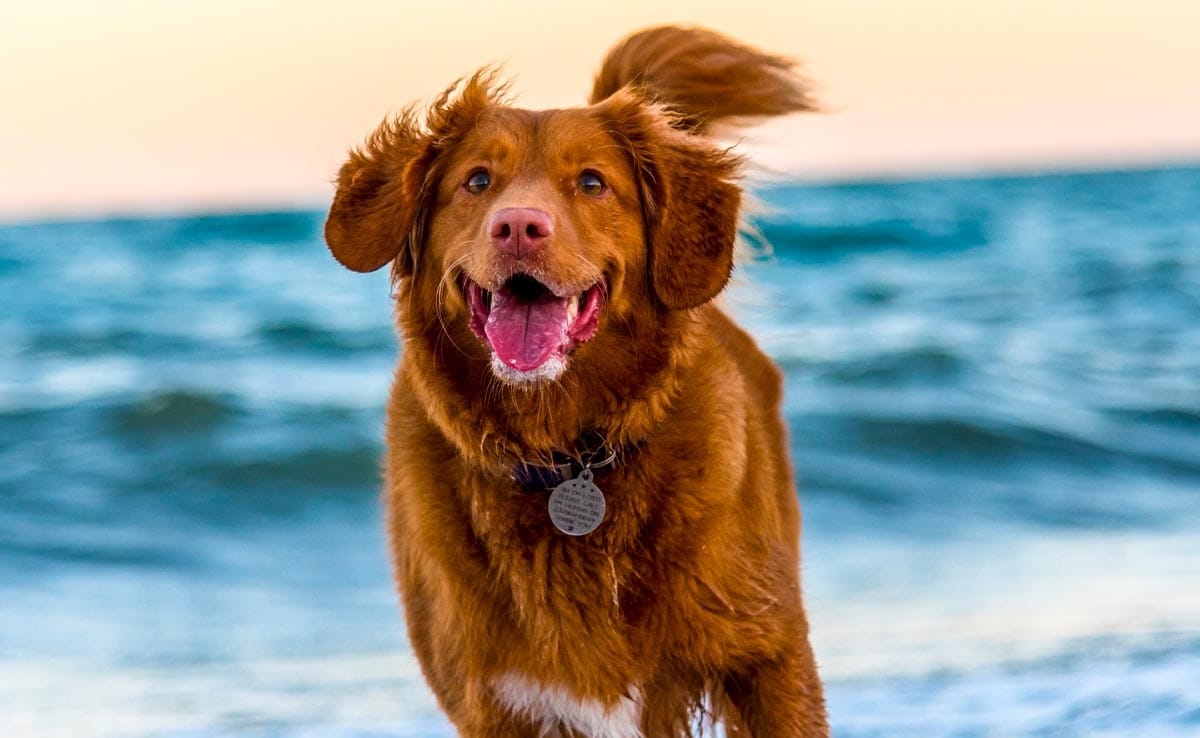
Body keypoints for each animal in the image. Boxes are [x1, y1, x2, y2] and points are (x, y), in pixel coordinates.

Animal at [328, 24, 830, 738]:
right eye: (477, 180)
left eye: (592, 183)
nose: (518, 226)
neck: (567, 454)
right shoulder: (497, 704)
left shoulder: (769, 659)